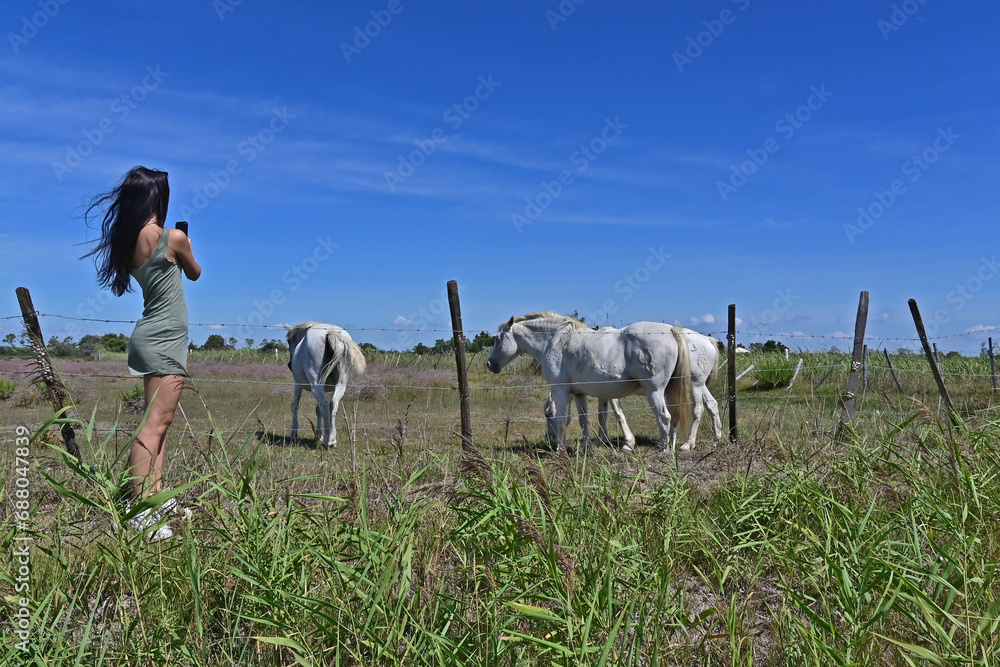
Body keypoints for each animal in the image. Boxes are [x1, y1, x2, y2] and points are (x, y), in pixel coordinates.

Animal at [486, 312, 693, 453]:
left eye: (498, 339)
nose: (490, 364)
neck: (554, 340)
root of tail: (671, 330)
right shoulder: (579, 393)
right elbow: (583, 420)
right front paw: (586, 447)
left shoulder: (560, 390)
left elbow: (562, 419)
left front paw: (561, 449)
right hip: (668, 391)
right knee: (674, 417)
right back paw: (672, 447)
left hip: (654, 391)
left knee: (664, 417)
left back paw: (663, 450)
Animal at [543, 328, 723, 451]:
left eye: (549, 414)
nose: (548, 439)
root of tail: (707, 341)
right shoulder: (601, 391)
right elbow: (602, 413)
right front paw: (600, 440)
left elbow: (616, 412)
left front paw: (627, 442)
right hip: (697, 386)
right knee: (711, 405)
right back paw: (717, 439)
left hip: (693, 385)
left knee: (695, 410)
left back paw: (686, 444)